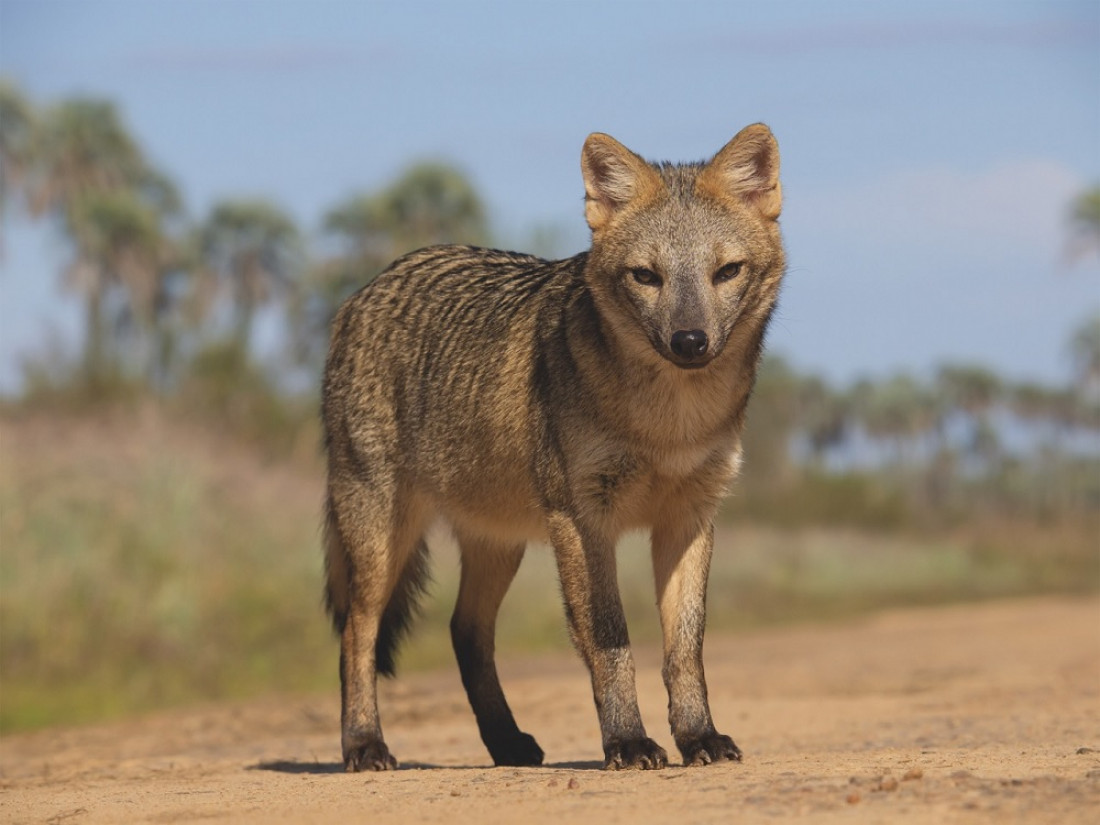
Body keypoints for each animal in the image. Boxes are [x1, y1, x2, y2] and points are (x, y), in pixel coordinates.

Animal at [319, 124, 783, 774]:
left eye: (726, 271)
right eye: (647, 276)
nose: (689, 341)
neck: (668, 425)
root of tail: (364, 290)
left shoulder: (690, 516)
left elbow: (684, 650)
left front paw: (698, 737)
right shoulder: (582, 519)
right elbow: (610, 640)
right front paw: (627, 741)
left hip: (498, 544)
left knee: (465, 631)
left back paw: (506, 743)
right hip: (382, 541)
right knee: (356, 635)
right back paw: (364, 744)